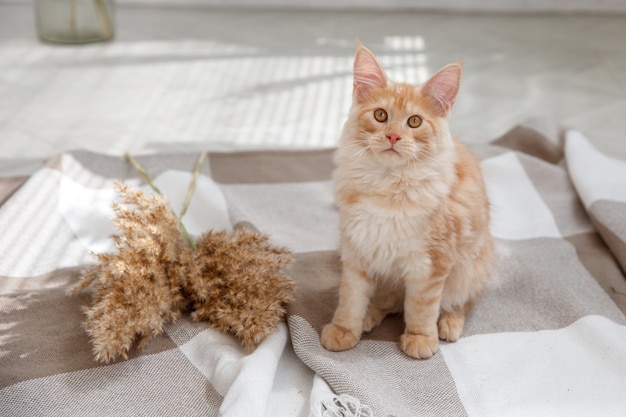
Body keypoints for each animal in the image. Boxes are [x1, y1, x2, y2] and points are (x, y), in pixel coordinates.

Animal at [322, 44, 492, 358]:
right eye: (380, 115)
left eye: (414, 121)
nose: (393, 136)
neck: (387, 187)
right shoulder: (357, 252)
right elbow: (351, 298)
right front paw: (344, 329)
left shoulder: (431, 264)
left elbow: (421, 307)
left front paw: (420, 338)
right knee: (388, 301)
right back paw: (369, 316)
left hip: (471, 267)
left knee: (461, 301)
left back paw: (449, 323)